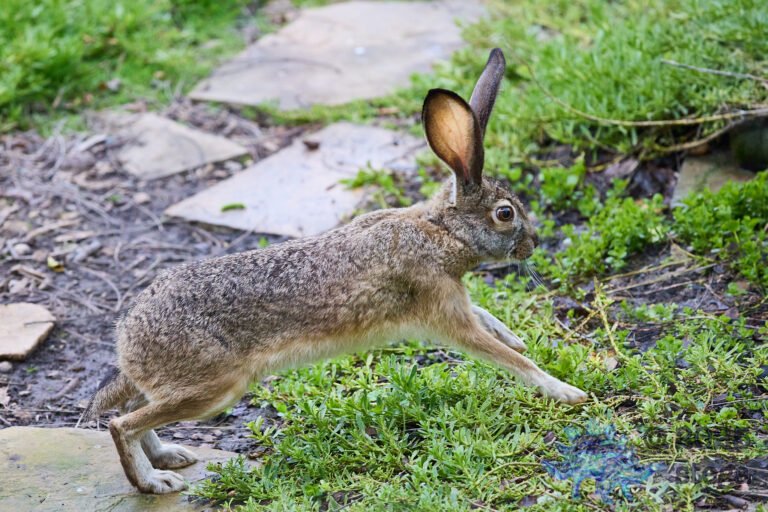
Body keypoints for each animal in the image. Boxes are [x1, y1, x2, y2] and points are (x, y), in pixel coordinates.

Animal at [82, 48, 587, 495]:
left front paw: (514, 336)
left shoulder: (453, 301)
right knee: (120, 423)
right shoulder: (444, 312)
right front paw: (567, 391)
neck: (441, 231)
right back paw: (154, 482)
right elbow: (509, 360)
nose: (533, 242)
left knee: (135, 410)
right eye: (505, 214)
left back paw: (169, 457)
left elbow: (489, 321)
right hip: (214, 388)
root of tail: (127, 341)